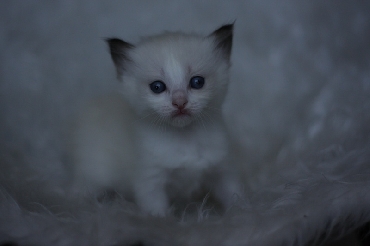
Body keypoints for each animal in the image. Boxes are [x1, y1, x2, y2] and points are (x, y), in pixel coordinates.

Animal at [70, 23, 241, 215]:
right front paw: (162, 220)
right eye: (157, 87)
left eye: (197, 82)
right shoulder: (150, 180)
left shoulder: (223, 169)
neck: (185, 138)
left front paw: (241, 211)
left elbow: (233, 193)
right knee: (79, 189)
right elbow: (156, 210)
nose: (179, 102)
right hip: (94, 173)